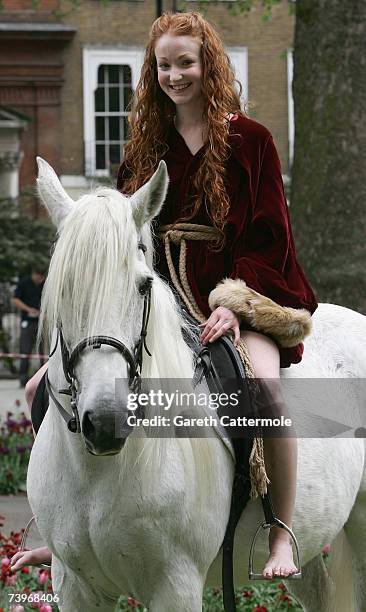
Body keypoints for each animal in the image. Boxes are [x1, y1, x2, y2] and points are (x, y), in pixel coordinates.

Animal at [27, 158, 366, 612]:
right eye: (62, 287)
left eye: (144, 285)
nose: (106, 420)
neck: (98, 472)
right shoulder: (75, 586)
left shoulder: (175, 585)